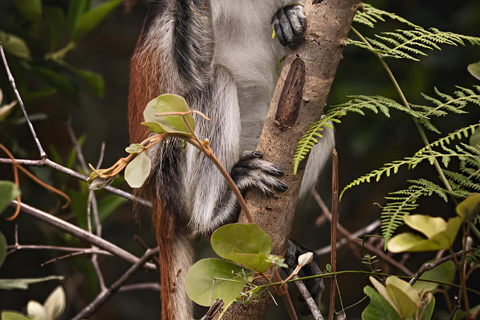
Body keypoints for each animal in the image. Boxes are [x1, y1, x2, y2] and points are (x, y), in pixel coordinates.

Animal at [129, 1, 336, 318]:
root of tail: (158, 199)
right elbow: (191, 75)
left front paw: (287, 15)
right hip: (169, 171)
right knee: (214, 81)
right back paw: (217, 216)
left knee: (321, 125)